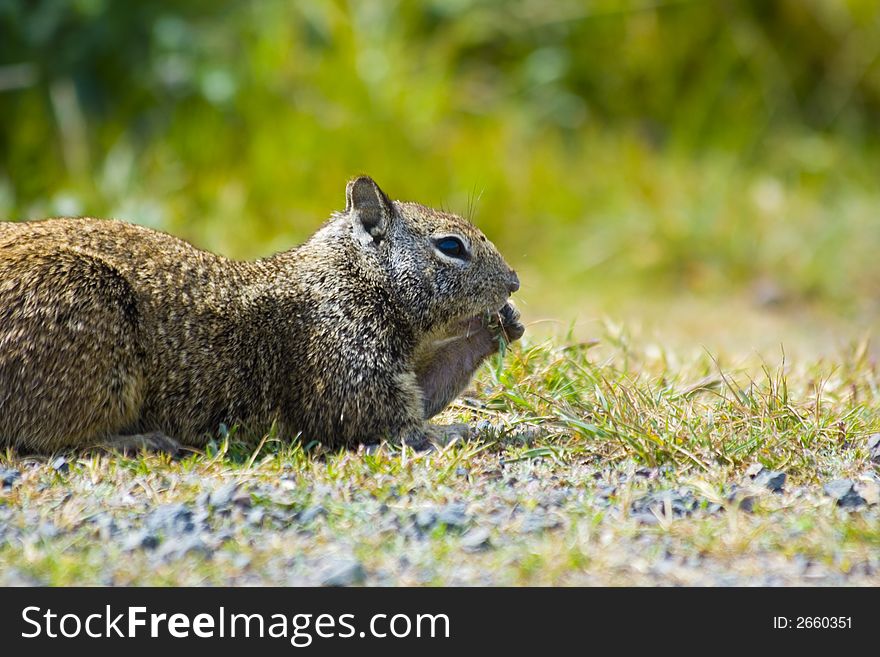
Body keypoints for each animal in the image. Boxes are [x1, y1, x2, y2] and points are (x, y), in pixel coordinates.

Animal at [0, 174, 524, 454]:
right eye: (451, 247)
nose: (515, 281)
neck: (349, 272)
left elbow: (428, 388)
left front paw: (499, 325)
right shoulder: (342, 352)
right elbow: (385, 420)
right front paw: (458, 430)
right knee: (49, 438)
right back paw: (140, 441)